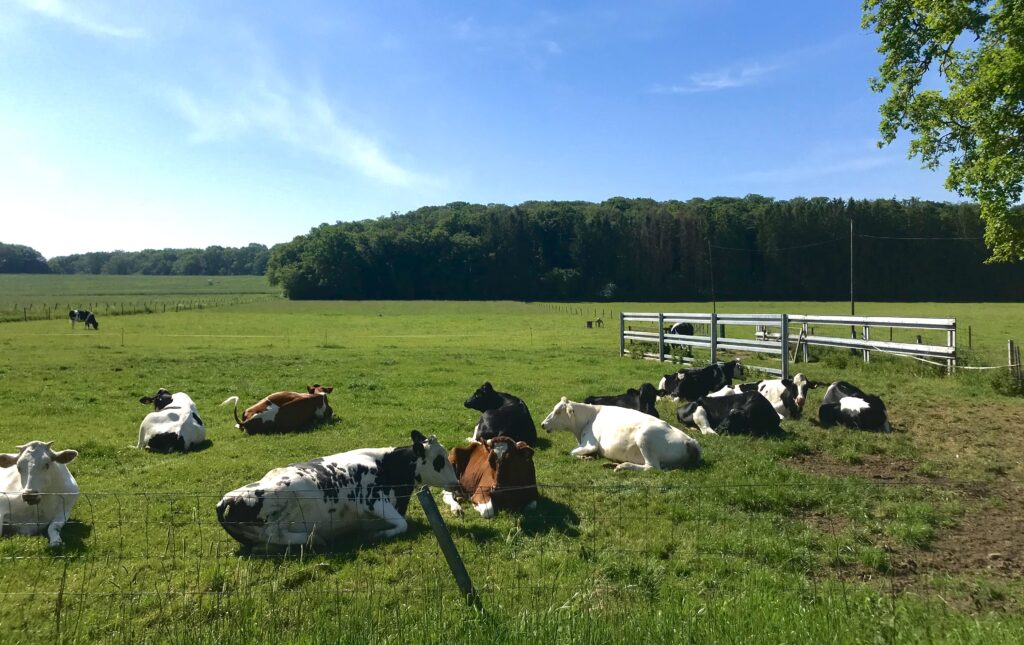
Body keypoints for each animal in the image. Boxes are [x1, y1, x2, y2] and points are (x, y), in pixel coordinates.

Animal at [217, 432, 460, 548]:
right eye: (439, 461)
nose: (457, 483)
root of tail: (227, 499)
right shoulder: (370, 500)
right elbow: (402, 524)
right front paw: (374, 535)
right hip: (290, 497)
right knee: (272, 532)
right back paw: (314, 539)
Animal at [540, 397, 700, 473]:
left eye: (558, 412)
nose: (542, 424)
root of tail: (690, 440)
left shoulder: (590, 443)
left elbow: (572, 452)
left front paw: (585, 457)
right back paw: (612, 464)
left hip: (645, 438)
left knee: (652, 467)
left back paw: (623, 466)